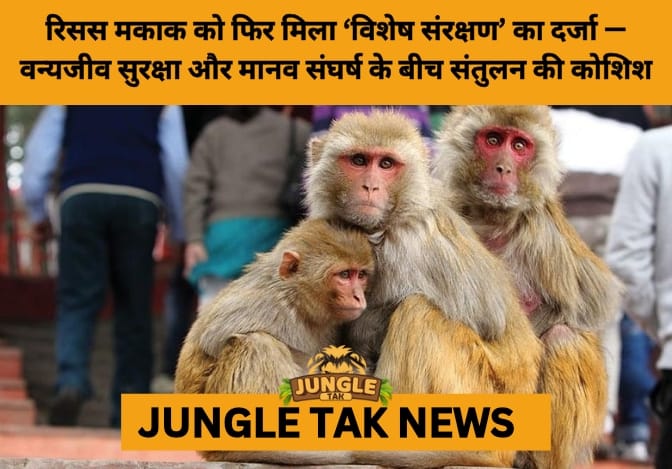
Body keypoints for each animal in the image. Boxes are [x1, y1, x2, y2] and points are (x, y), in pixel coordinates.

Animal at [174, 218, 373, 465]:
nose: (359, 297)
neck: (295, 299)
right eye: (345, 275)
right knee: (257, 343)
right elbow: (214, 336)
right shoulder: (265, 306)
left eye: (361, 275)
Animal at [305, 110, 543, 468]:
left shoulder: (412, 242)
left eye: (386, 164)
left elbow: (486, 316)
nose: (371, 186)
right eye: (359, 160)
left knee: (417, 314)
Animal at [434, 105, 621, 468]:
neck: (490, 222)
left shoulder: (545, 235)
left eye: (520, 146)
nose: (504, 167)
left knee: (564, 338)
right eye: (493, 140)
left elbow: (589, 309)